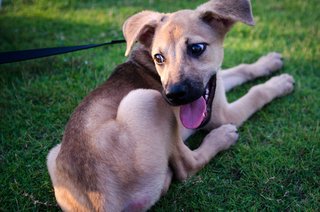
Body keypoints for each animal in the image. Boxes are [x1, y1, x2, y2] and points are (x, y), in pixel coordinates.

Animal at [46, 0, 294, 210]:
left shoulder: (217, 87)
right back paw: (221, 138)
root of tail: (99, 204)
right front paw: (279, 83)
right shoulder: (222, 114)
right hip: (146, 99)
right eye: (159, 57)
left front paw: (269, 62)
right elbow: (257, 92)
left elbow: (241, 69)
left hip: (53, 153)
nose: (173, 95)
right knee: (186, 166)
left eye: (197, 48)